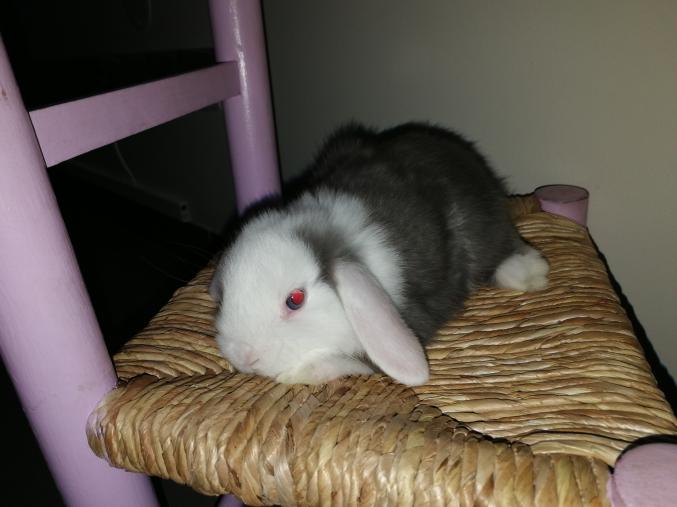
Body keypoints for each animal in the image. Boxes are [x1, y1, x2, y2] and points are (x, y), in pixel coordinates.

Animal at [209, 122, 549, 386]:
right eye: (224, 295)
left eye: (295, 299)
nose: (244, 355)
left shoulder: (415, 320)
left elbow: (355, 362)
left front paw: (299, 374)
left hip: (483, 225)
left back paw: (531, 272)